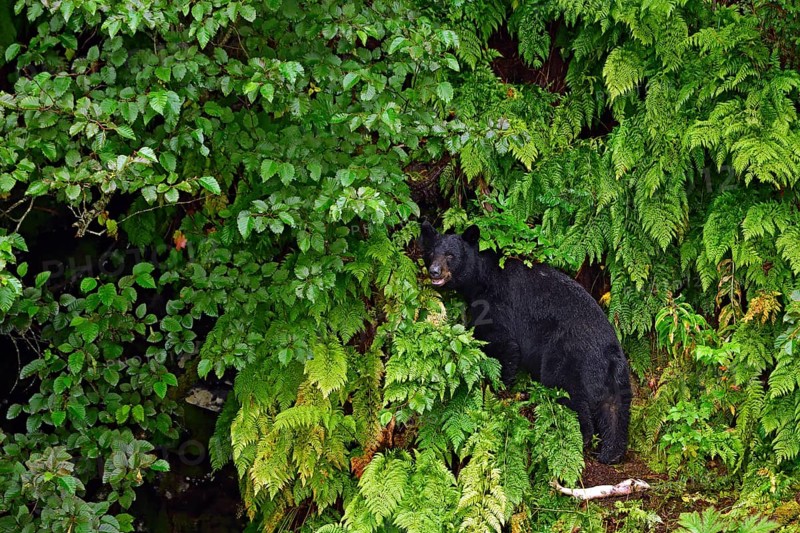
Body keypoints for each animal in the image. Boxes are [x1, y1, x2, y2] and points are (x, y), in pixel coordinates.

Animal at [419, 220, 631, 464]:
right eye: (431, 253)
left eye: (450, 255)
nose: (434, 271)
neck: (482, 278)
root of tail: (608, 353)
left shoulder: (497, 303)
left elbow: (501, 342)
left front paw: (500, 384)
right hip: (618, 377)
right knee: (616, 409)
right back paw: (611, 453)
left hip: (567, 357)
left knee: (569, 393)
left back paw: (581, 438)